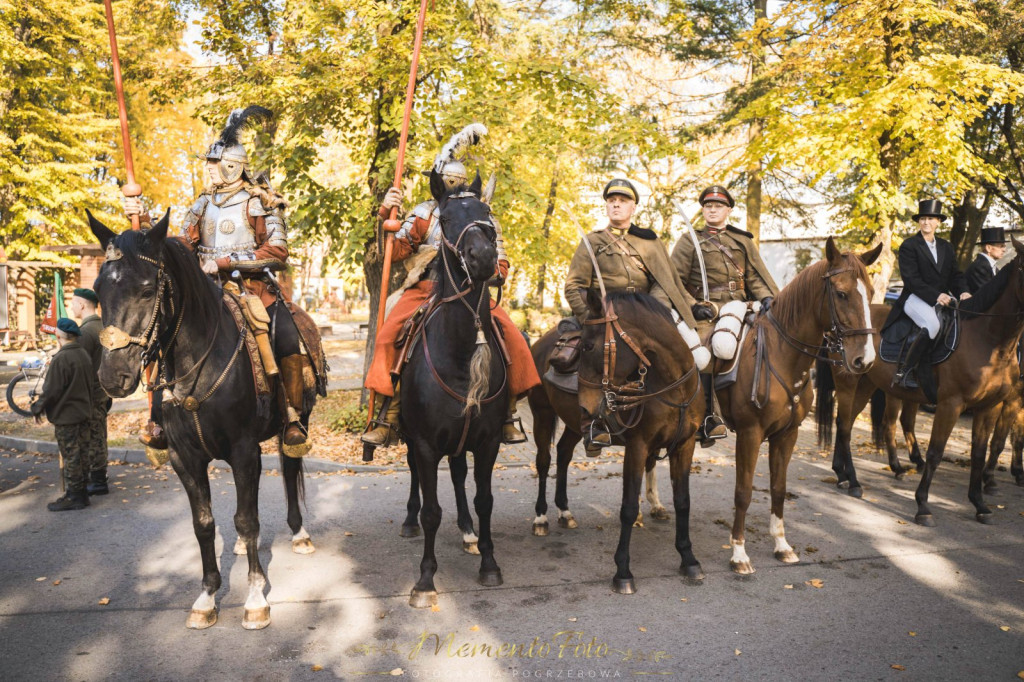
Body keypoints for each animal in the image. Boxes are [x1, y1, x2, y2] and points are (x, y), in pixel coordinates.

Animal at [88, 210, 315, 626]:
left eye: (147, 290)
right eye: (97, 291)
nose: (113, 377)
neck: (199, 361)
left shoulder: (243, 451)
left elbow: (246, 518)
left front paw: (255, 598)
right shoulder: (186, 458)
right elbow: (205, 524)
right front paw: (208, 596)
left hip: (296, 417)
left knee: (290, 467)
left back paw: (299, 533)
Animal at [720, 236, 880, 569]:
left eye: (871, 294)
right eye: (841, 293)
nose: (865, 359)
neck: (781, 356)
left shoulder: (787, 435)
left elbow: (779, 488)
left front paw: (781, 544)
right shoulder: (749, 433)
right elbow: (743, 491)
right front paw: (739, 551)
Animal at [819, 236, 1024, 522]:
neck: (992, 343)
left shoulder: (990, 406)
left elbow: (981, 452)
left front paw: (980, 503)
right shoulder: (951, 404)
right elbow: (936, 452)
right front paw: (923, 505)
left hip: (868, 384)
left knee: (850, 422)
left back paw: (843, 474)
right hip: (848, 382)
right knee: (847, 424)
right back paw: (856, 478)